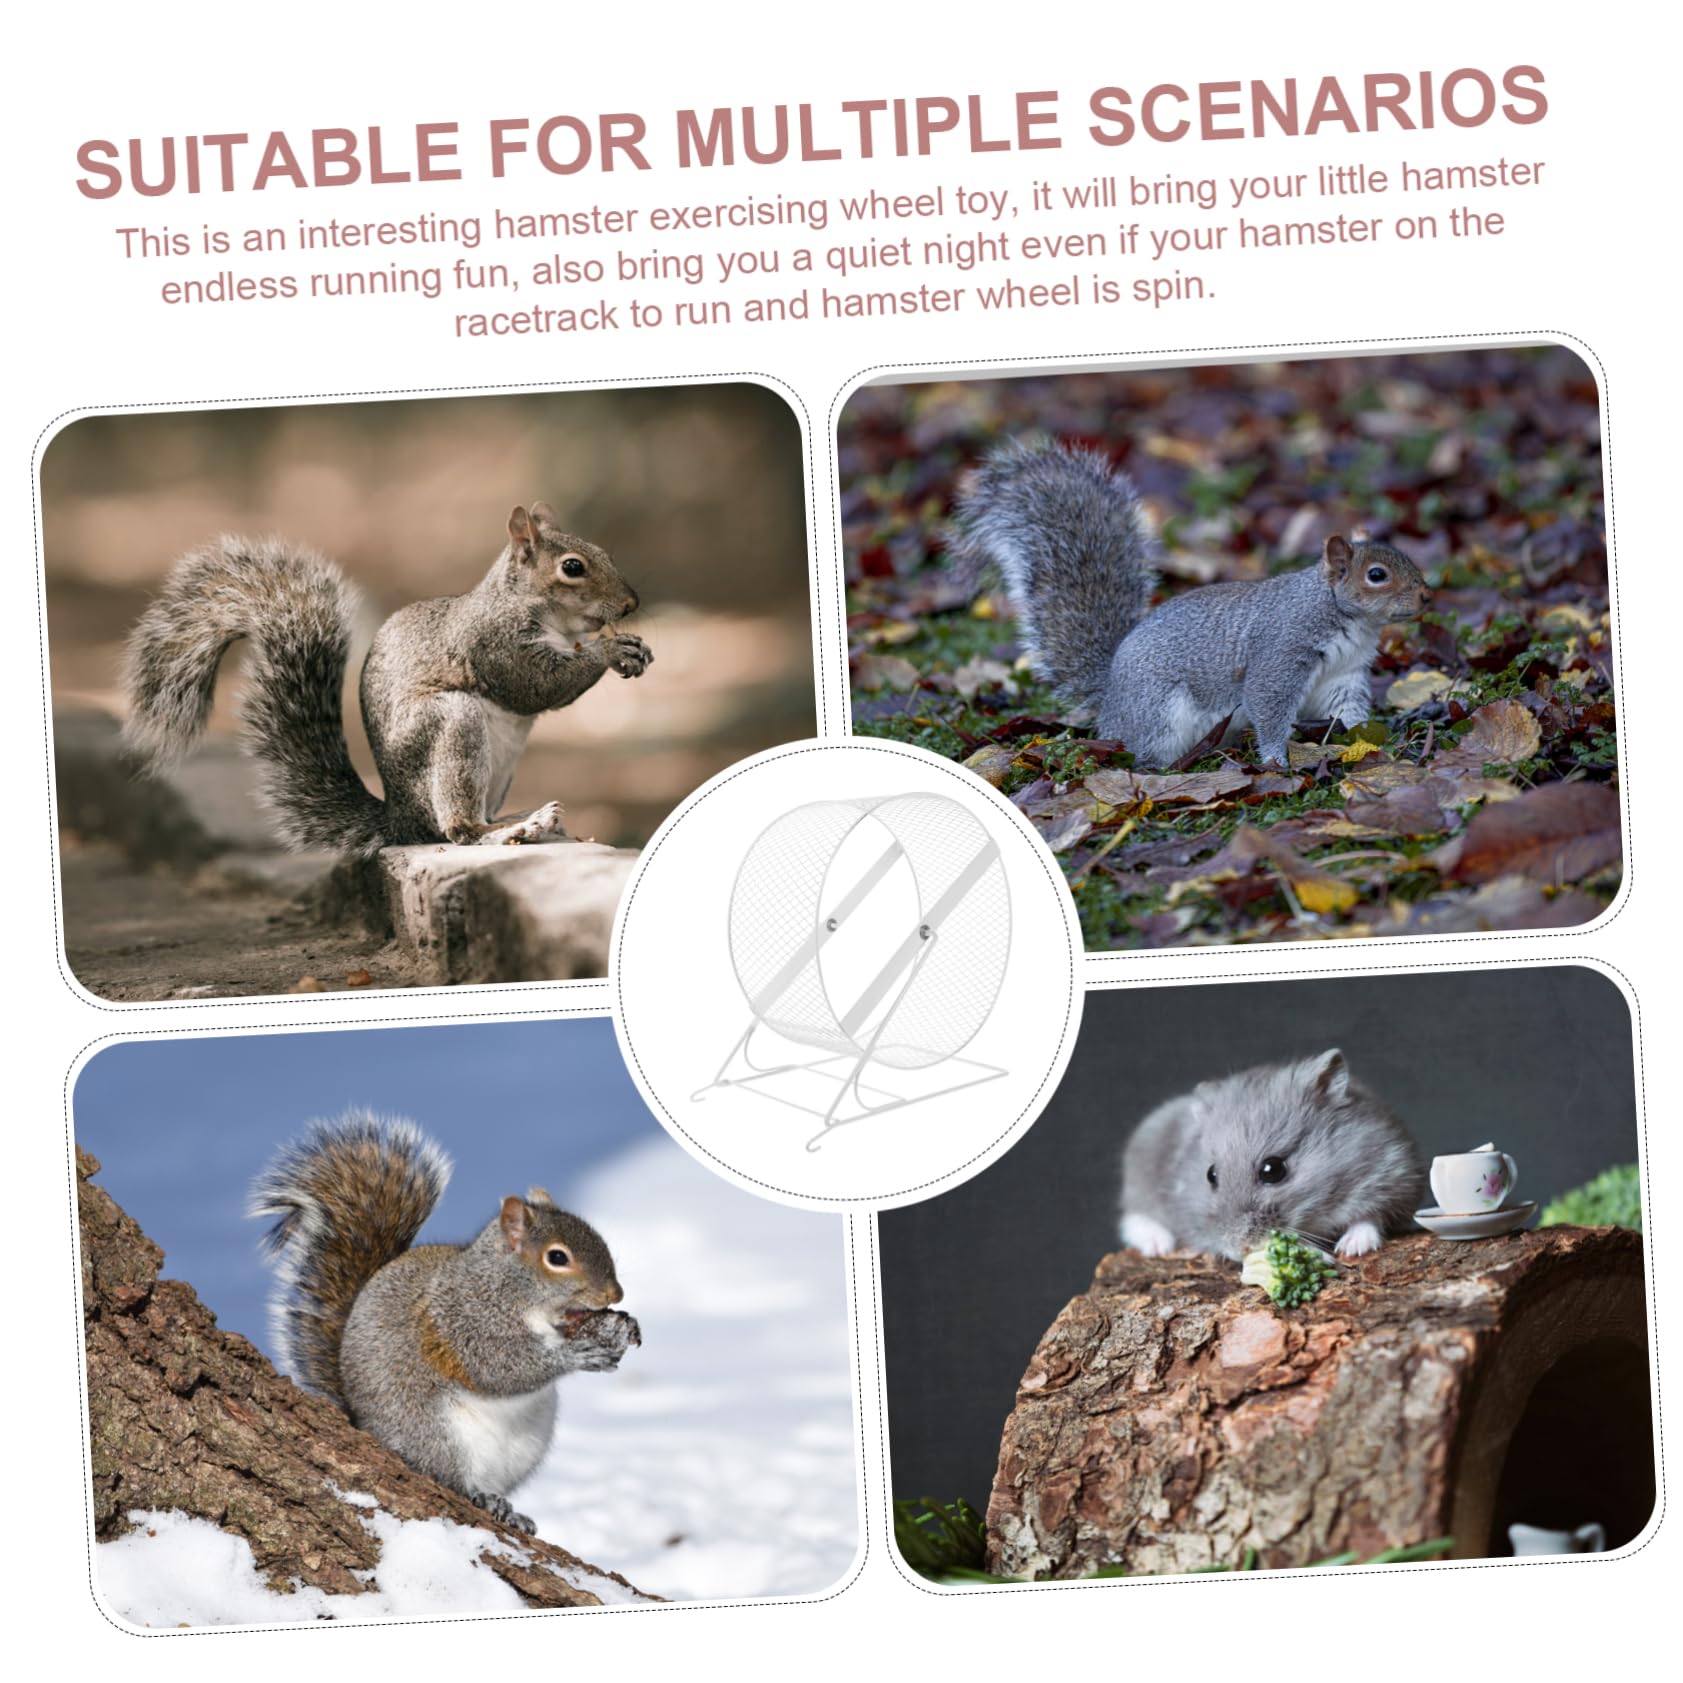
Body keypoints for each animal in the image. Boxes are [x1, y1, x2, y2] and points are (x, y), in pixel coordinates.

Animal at [1118, 1048, 1425, 1260]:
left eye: (1273, 1169)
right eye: (1210, 1175)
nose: (1239, 1249)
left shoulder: (1393, 1174)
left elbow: (1370, 1217)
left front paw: (1352, 1249)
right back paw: (1158, 1246)